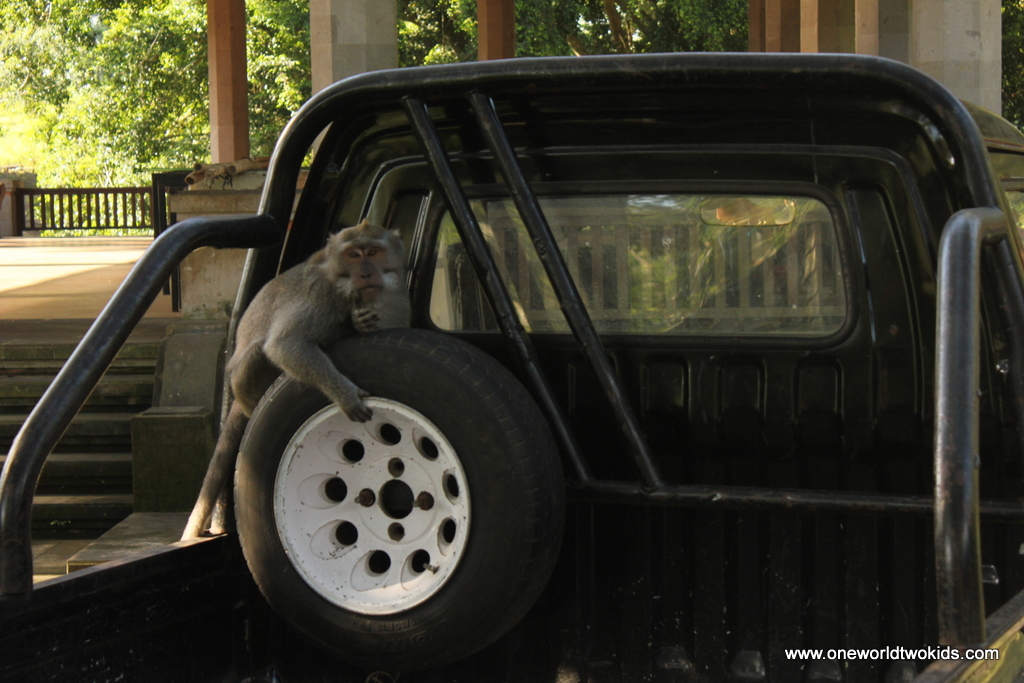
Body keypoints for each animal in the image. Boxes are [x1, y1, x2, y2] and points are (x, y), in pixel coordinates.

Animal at [182, 220, 410, 539]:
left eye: (373, 252)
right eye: (353, 255)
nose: (365, 273)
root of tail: (239, 398)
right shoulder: (320, 293)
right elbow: (285, 344)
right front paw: (345, 394)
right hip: (248, 382)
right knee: (261, 351)